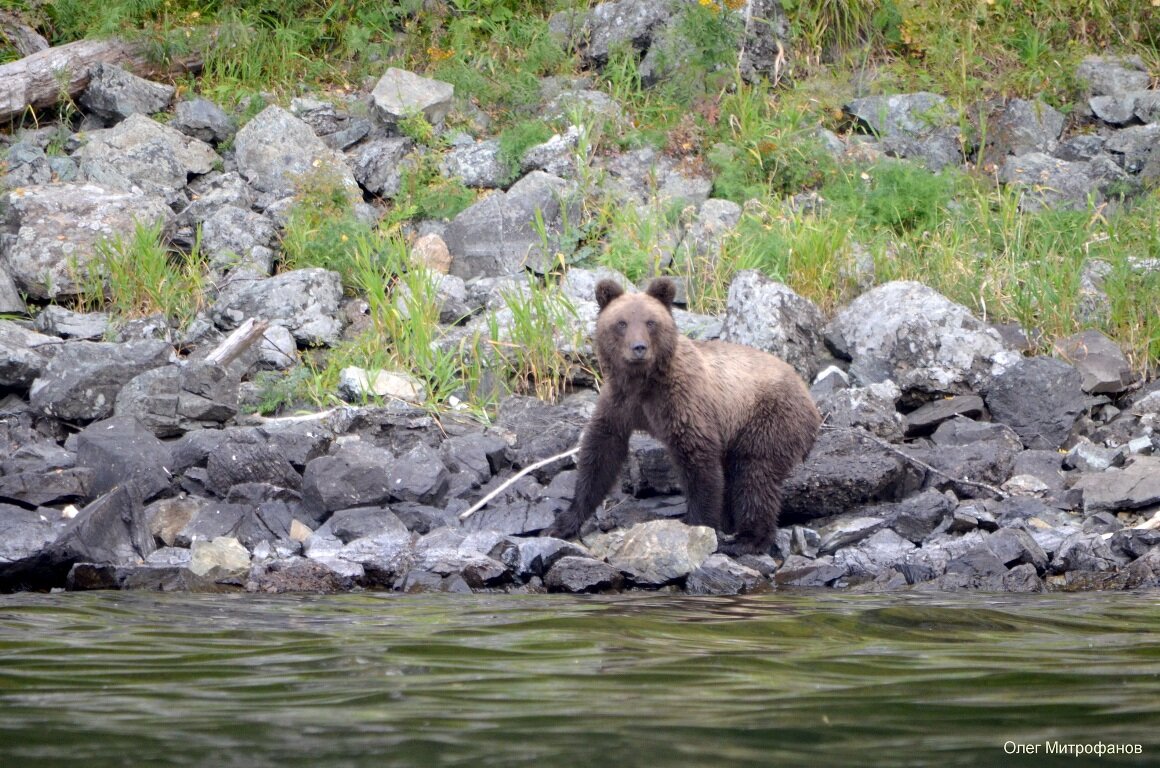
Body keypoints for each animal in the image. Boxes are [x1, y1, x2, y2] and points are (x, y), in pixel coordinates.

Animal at [547, 279, 821, 556]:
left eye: (650, 322)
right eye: (621, 323)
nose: (639, 348)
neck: (644, 381)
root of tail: (809, 398)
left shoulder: (683, 402)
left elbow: (698, 462)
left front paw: (699, 526)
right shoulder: (619, 402)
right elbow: (601, 452)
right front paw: (565, 521)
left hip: (767, 418)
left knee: (756, 474)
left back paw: (748, 539)